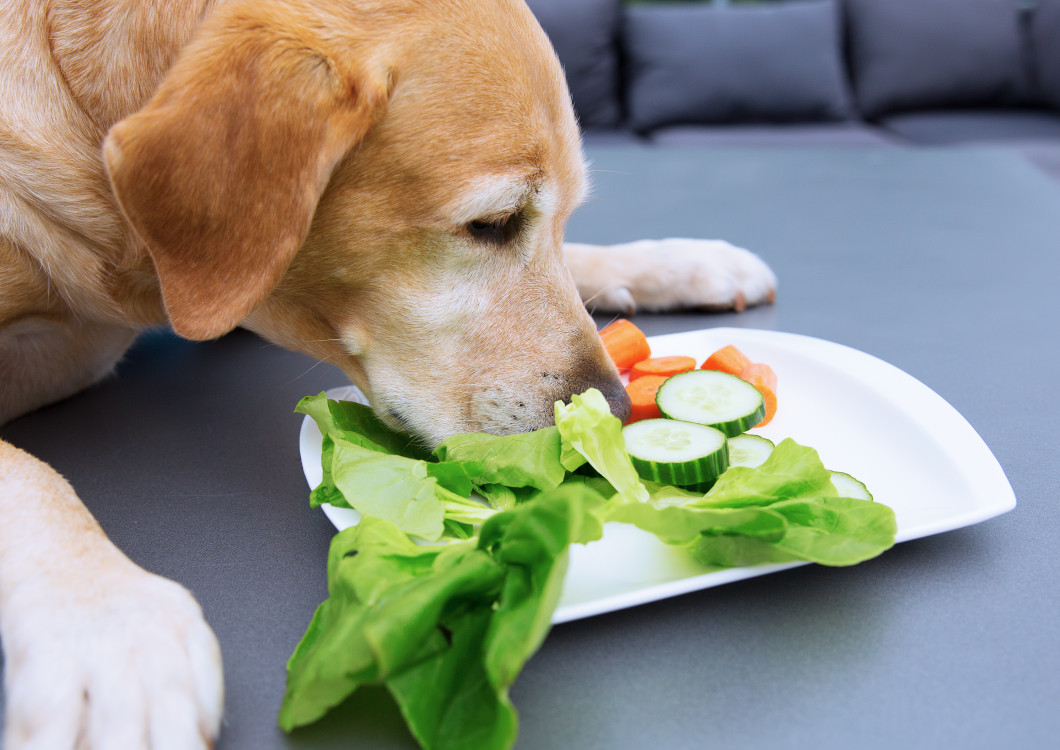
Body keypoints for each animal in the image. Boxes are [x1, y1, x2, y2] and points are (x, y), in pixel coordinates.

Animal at [2, 0, 780, 745]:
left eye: (560, 217)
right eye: (492, 223)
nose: (615, 410)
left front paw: (671, 261)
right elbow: (29, 471)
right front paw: (107, 627)